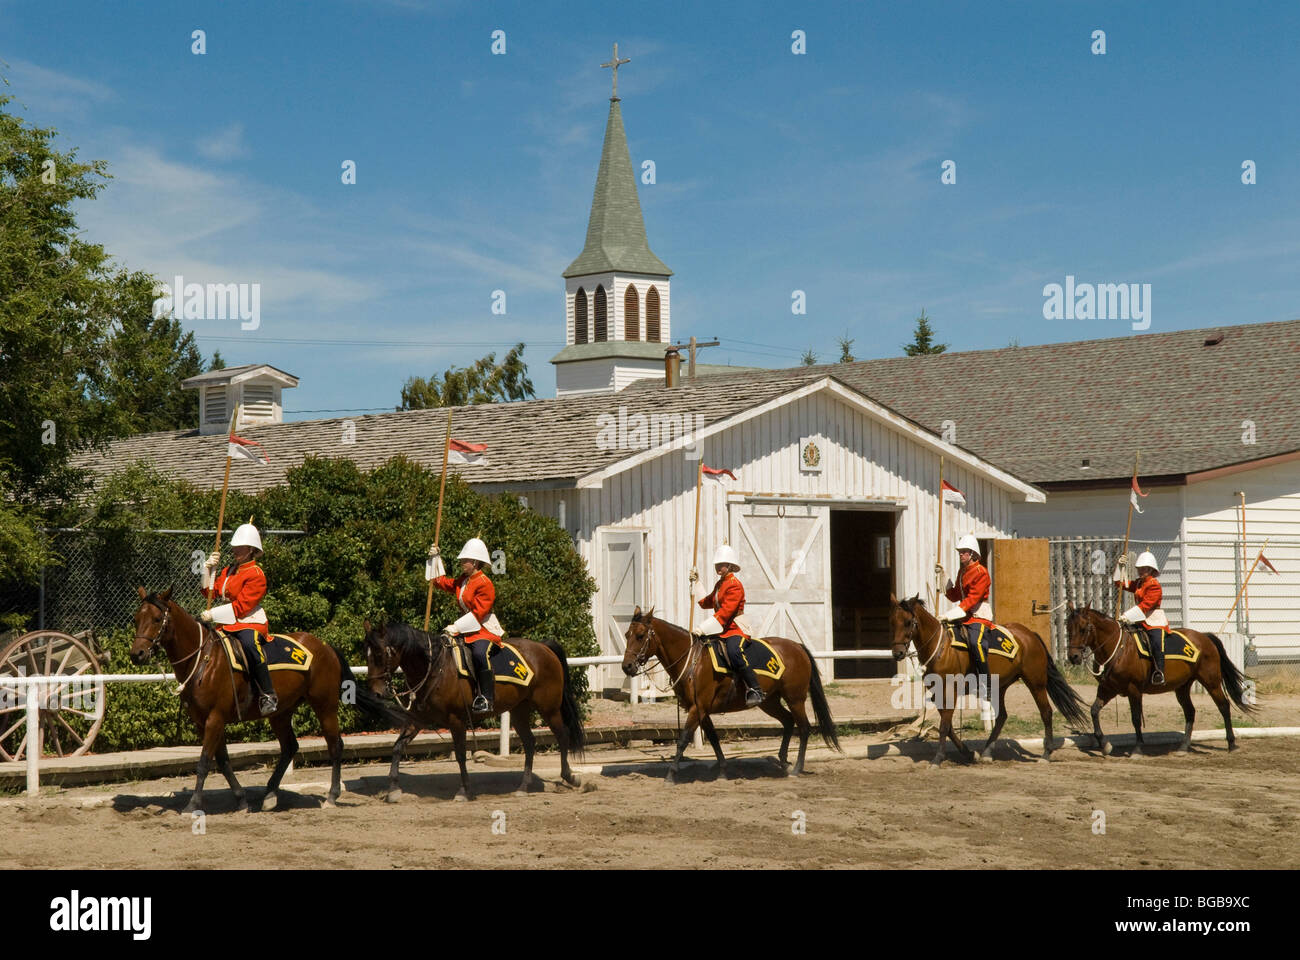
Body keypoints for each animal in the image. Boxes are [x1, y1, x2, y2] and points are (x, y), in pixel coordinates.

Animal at [130, 582, 397, 806]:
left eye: (157, 619)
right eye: (136, 619)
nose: (137, 654)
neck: (203, 659)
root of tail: (325, 646)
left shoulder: (215, 718)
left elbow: (205, 761)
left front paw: (194, 804)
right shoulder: (203, 721)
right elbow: (222, 761)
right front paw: (241, 799)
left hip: (325, 705)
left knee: (335, 745)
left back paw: (331, 795)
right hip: (281, 713)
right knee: (290, 747)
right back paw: (269, 794)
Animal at [361, 616, 585, 796]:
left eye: (380, 654)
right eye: (367, 654)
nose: (376, 693)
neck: (434, 667)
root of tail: (544, 647)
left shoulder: (456, 719)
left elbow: (460, 754)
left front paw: (464, 790)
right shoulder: (417, 720)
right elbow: (397, 747)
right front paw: (393, 788)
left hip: (549, 708)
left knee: (563, 735)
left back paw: (569, 777)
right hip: (519, 709)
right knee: (530, 742)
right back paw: (523, 787)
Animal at [618, 600, 842, 780]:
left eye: (640, 636)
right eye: (627, 634)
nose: (627, 666)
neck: (692, 660)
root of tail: (797, 646)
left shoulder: (697, 708)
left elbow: (683, 740)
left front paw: (671, 775)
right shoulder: (701, 709)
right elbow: (714, 739)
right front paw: (723, 771)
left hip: (795, 699)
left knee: (804, 728)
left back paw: (796, 768)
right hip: (769, 701)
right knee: (788, 721)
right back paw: (782, 761)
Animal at [889, 590, 1092, 764]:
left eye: (908, 622)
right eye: (892, 622)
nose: (898, 653)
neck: (941, 648)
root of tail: (1030, 635)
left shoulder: (950, 691)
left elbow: (944, 725)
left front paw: (938, 758)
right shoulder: (938, 692)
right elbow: (948, 725)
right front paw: (968, 753)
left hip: (1036, 683)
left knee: (1046, 712)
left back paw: (1046, 753)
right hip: (999, 686)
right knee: (1002, 716)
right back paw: (986, 752)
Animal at [1060, 600, 1253, 749]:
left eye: (1083, 628)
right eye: (1068, 627)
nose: (1073, 656)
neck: (1118, 648)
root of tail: (1205, 637)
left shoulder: (1134, 690)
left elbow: (1136, 718)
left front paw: (1138, 747)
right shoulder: (1108, 688)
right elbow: (1094, 711)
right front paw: (1104, 744)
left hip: (1211, 681)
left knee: (1224, 706)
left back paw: (1231, 743)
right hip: (1182, 687)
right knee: (1190, 711)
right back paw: (1184, 746)